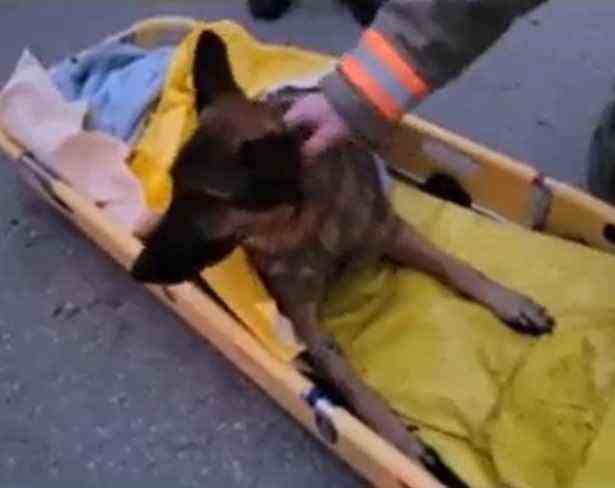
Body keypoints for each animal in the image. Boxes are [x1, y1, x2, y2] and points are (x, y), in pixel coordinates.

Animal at [132, 30, 556, 484]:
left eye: (205, 201)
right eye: (176, 189)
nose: (138, 269)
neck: (310, 225)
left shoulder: (390, 232)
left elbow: (455, 265)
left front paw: (510, 302)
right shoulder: (306, 323)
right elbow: (350, 380)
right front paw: (402, 439)